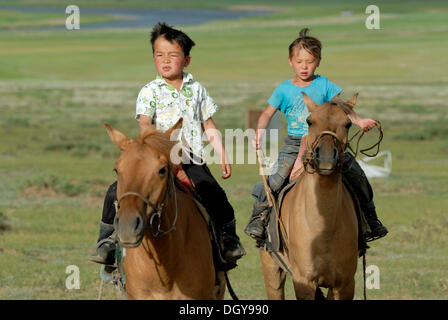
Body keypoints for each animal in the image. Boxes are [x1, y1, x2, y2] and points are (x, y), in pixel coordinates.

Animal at [260, 92, 360, 300]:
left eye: (348, 123)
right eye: (309, 121)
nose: (326, 157)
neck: (324, 228)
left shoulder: (345, 284)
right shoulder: (304, 282)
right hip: (272, 269)